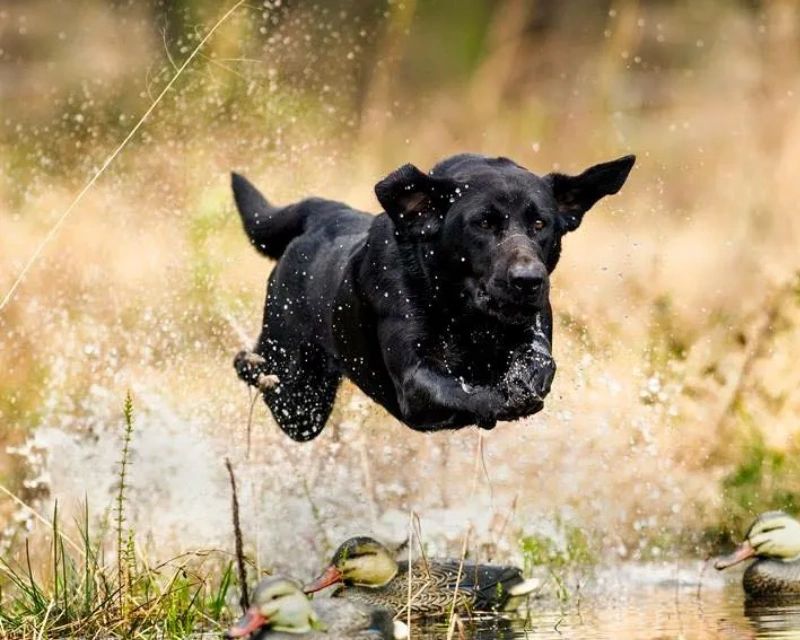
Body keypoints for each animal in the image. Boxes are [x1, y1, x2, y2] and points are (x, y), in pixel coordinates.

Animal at [233, 153, 636, 442]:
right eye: (483, 223)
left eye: (540, 224)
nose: (528, 280)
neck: (465, 316)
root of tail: (323, 213)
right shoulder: (416, 381)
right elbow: (463, 390)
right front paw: (502, 399)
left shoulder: (534, 329)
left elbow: (538, 360)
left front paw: (523, 381)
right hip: (299, 398)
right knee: (251, 367)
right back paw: (251, 365)